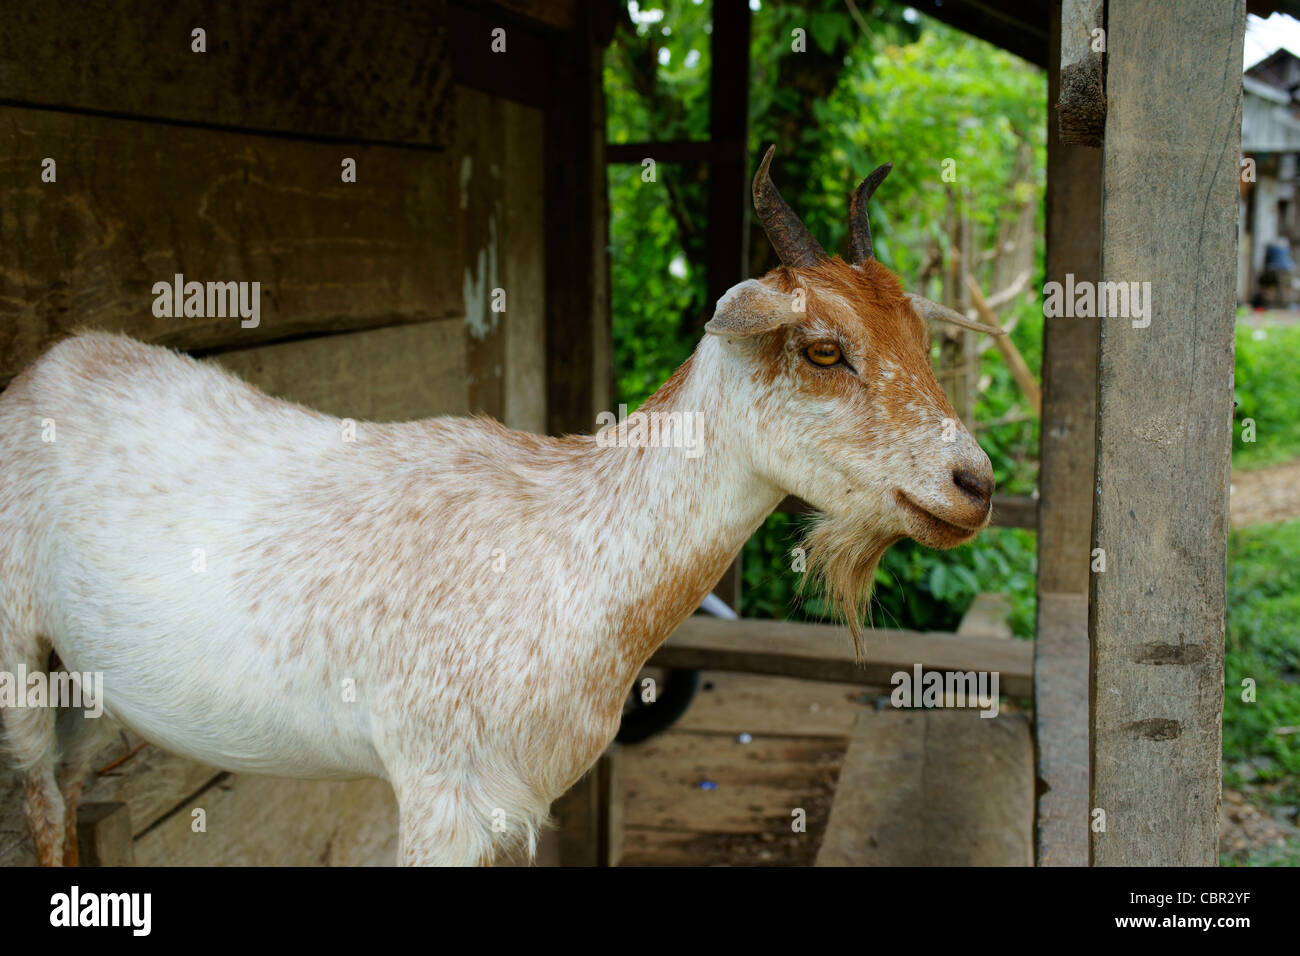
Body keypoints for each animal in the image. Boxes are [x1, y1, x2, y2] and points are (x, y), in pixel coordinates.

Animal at [0, 147, 993, 868]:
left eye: (921, 335)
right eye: (824, 348)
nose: (974, 484)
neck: (565, 550)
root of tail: (43, 371)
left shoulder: (519, 801)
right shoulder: (438, 787)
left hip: (90, 680)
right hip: (15, 646)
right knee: (40, 795)